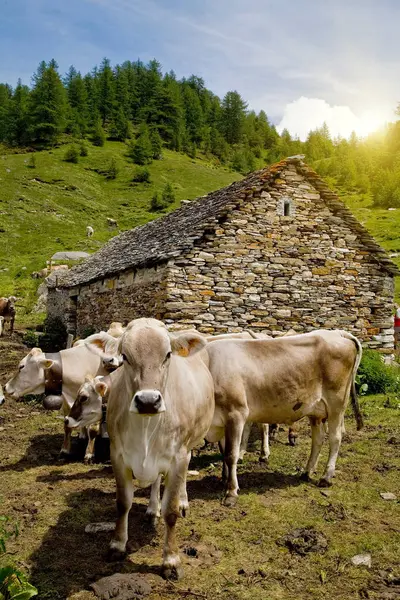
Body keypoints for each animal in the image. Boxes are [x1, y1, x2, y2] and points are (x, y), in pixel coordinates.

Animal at [86, 316, 214, 580]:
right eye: (124, 356)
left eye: (168, 354)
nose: (147, 401)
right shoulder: (118, 456)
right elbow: (123, 502)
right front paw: (117, 545)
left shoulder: (177, 458)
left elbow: (171, 511)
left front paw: (171, 560)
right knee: (155, 481)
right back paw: (152, 509)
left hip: (189, 445)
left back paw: (183, 500)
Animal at [205, 328, 364, 506]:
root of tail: (337, 333)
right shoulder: (221, 422)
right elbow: (224, 453)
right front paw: (224, 479)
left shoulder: (236, 414)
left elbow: (231, 455)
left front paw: (231, 492)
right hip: (316, 410)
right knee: (318, 439)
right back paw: (307, 472)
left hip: (336, 404)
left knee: (335, 438)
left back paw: (326, 477)